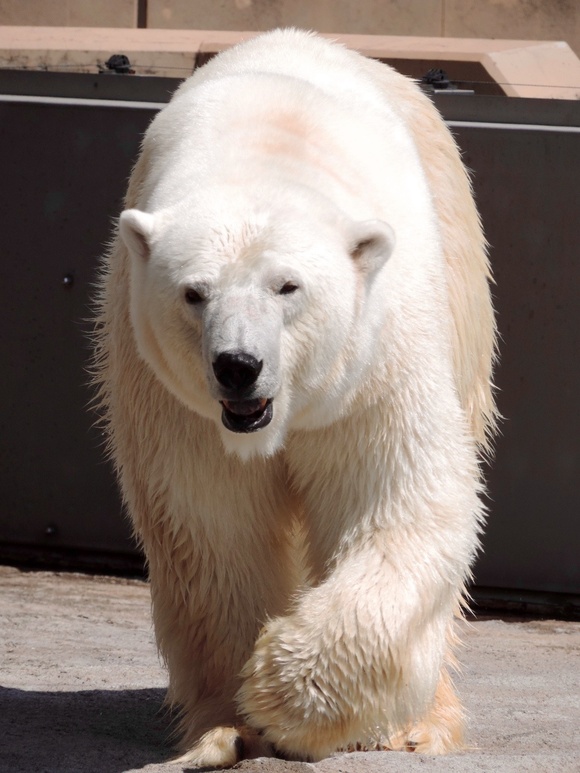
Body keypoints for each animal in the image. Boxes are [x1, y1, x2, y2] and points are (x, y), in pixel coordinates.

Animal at [93, 28, 496, 764]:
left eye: (288, 286)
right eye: (194, 292)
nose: (238, 366)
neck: (266, 150)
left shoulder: (374, 364)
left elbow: (401, 499)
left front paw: (282, 688)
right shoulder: (176, 399)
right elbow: (212, 525)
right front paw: (229, 723)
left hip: (462, 281)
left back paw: (422, 723)